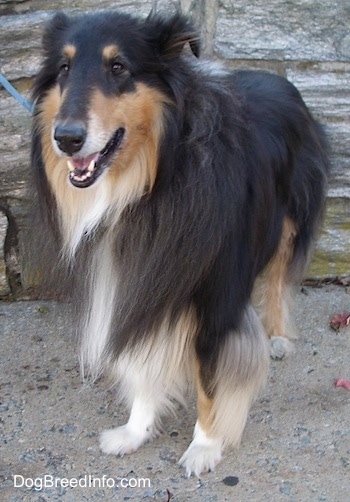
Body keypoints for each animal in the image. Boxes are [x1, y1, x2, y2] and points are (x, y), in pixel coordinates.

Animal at [31, 9, 330, 476]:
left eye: (119, 67)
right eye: (64, 68)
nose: (66, 138)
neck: (155, 181)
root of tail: (279, 78)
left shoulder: (215, 300)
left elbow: (210, 379)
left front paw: (205, 445)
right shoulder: (139, 281)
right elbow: (143, 364)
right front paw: (135, 431)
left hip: (290, 220)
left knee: (280, 276)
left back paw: (279, 337)